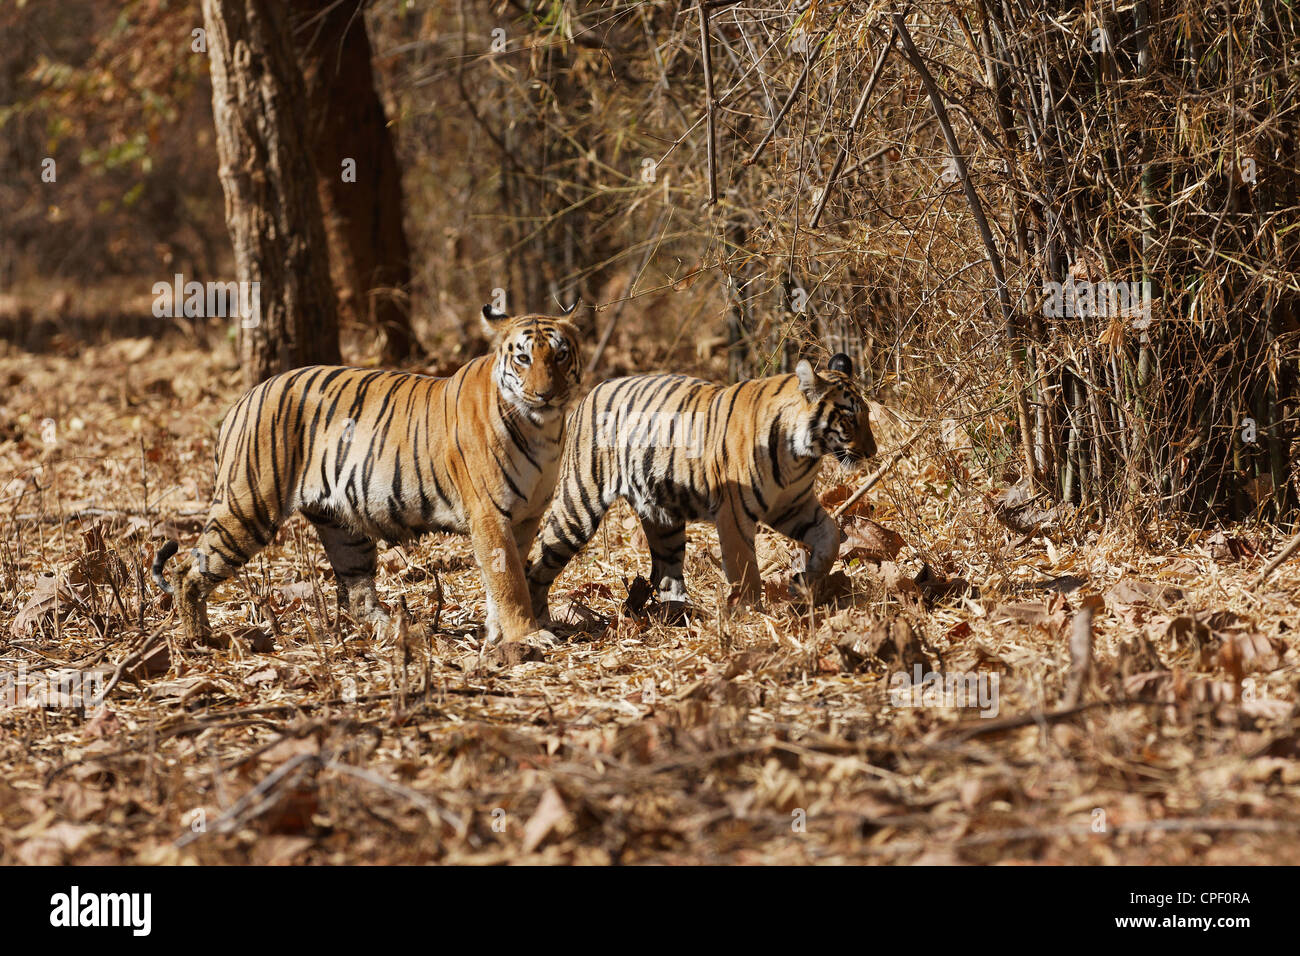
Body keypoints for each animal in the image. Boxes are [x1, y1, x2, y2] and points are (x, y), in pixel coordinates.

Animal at [152, 303, 579, 655]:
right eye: (523, 358)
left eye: (560, 355)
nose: (546, 394)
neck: (542, 429)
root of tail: (243, 399)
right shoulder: (490, 514)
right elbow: (509, 580)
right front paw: (527, 635)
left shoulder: (525, 516)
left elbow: (505, 576)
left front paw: (497, 633)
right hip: (248, 507)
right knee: (187, 571)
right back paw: (201, 640)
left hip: (343, 529)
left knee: (357, 597)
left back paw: (400, 631)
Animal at [525, 356, 873, 616]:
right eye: (849, 418)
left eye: (867, 414)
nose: (873, 452)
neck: (801, 455)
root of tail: (587, 396)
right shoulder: (734, 514)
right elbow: (745, 568)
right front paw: (752, 613)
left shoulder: (792, 505)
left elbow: (830, 537)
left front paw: (804, 580)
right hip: (578, 507)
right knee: (539, 562)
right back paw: (538, 623)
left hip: (664, 520)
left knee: (666, 574)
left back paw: (678, 613)